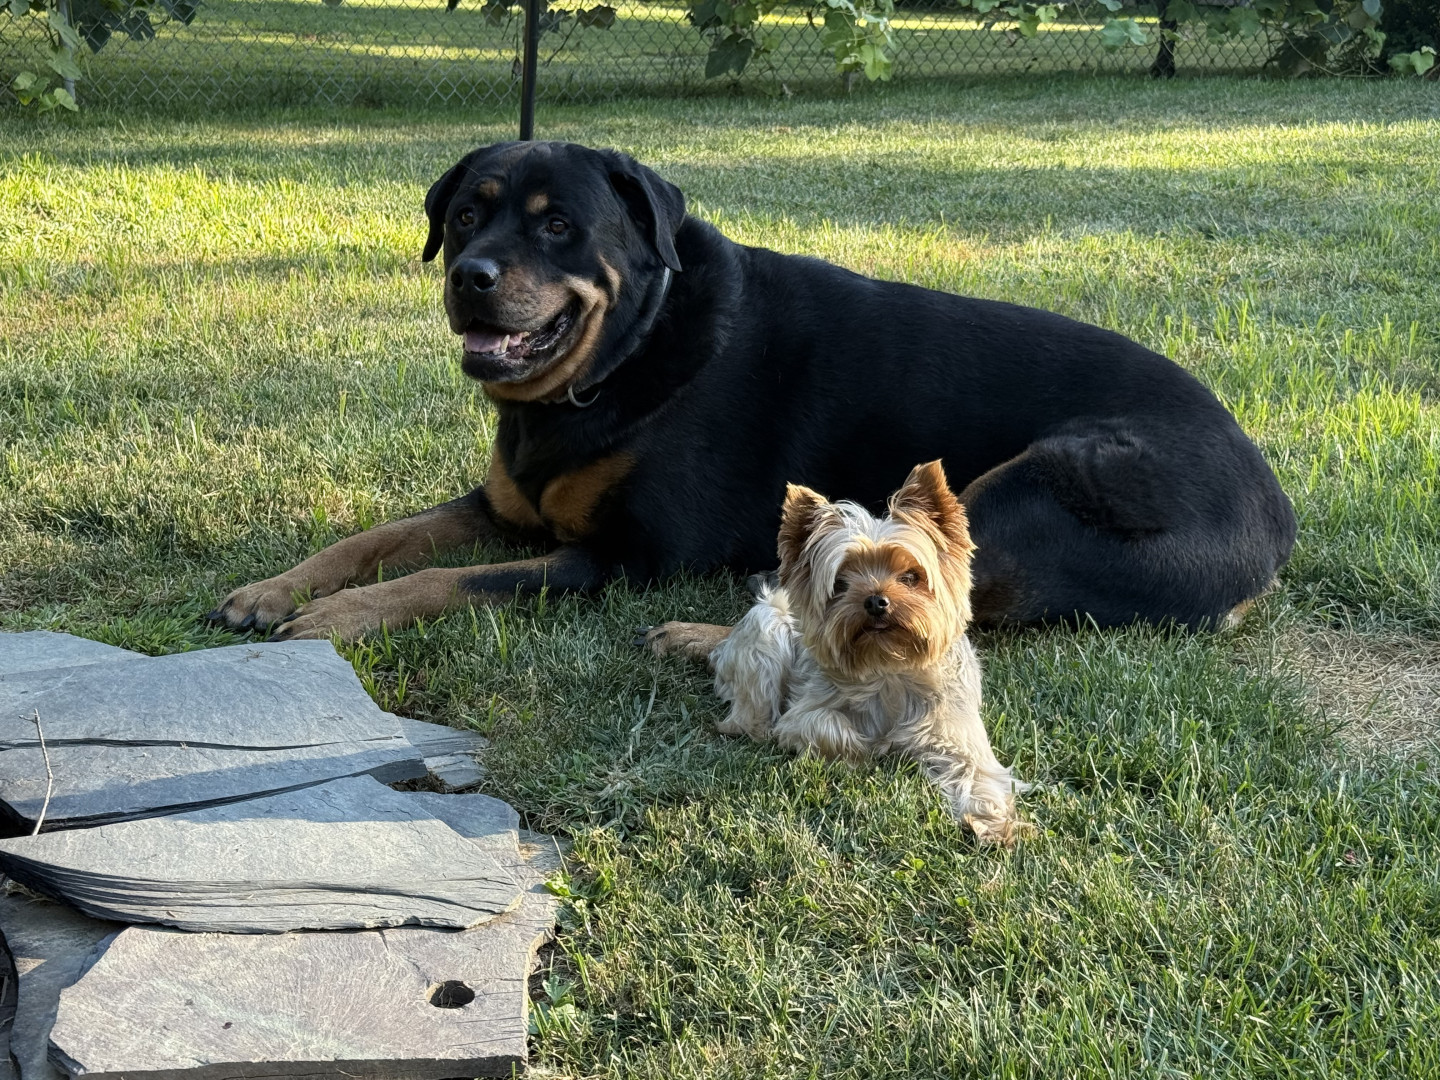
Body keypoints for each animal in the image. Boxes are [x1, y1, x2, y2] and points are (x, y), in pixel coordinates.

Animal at [206, 140, 1296, 642]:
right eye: (467, 214)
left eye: (558, 226)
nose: (468, 275)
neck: (618, 365)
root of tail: (1279, 519)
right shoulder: (502, 505)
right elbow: (381, 538)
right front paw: (278, 588)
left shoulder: (621, 558)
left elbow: (446, 580)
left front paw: (340, 619)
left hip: (1022, 487)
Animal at [687, 461, 1026, 843]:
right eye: (841, 583)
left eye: (911, 576)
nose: (876, 601)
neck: (889, 664)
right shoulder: (803, 715)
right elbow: (828, 727)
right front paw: (866, 751)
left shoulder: (956, 730)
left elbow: (979, 772)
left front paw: (993, 823)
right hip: (766, 627)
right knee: (752, 718)